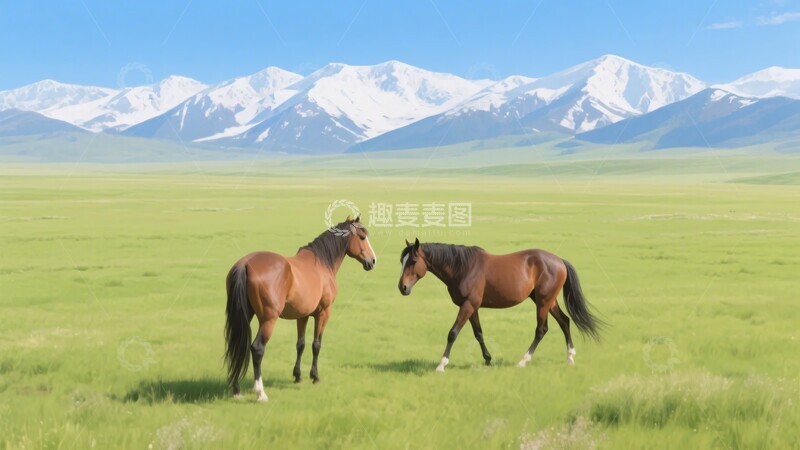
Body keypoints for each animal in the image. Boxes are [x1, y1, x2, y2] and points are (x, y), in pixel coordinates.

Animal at [224, 216, 376, 401]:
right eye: (362, 237)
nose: (372, 261)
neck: (322, 263)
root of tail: (245, 264)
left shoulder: (302, 315)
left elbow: (300, 344)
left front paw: (297, 376)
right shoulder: (323, 313)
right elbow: (316, 344)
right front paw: (315, 376)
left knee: (238, 344)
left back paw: (236, 390)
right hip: (268, 320)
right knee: (257, 348)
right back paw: (260, 393)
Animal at [398, 238, 603, 371]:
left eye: (413, 261)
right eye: (402, 261)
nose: (402, 287)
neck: (463, 268)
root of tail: (560, 261)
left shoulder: (468, 305)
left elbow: (453, 333)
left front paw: (442, 364)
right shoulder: (472, 307)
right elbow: (479, 334)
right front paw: (488, 360)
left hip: (543, 302)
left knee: (541, 330)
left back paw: (523, 361)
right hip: (547, 300)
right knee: (564, 322)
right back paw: (570, 357)